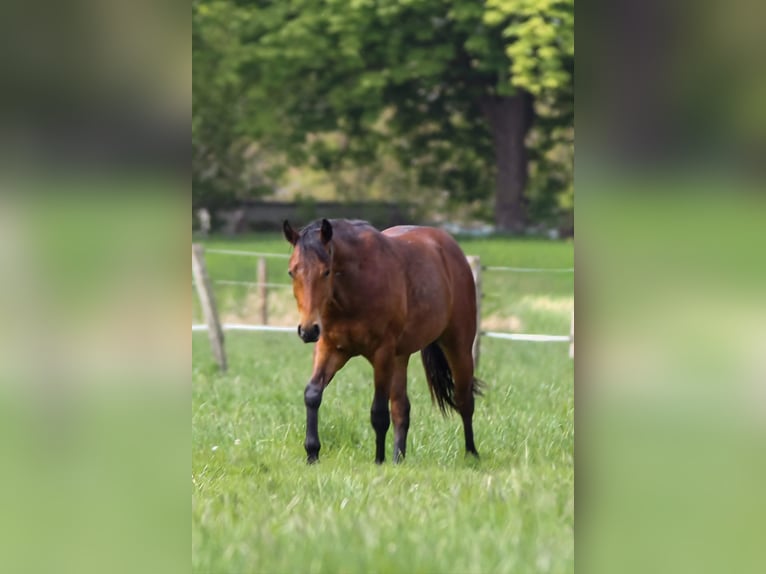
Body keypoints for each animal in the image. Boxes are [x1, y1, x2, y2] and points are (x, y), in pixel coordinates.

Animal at [283, 218, 481, 464]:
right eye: (292, 272)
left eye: (326, 271)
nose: (308, 330)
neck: (355, 287)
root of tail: (451, 249)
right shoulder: (330, 348)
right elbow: (312, 394)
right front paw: (312, 453)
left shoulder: (382, 353)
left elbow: (378, 411)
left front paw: (378, 460)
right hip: (400, 357)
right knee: (401, 408)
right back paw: (398, 459)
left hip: (457, 346)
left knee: (464, 399)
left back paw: (471, 454)